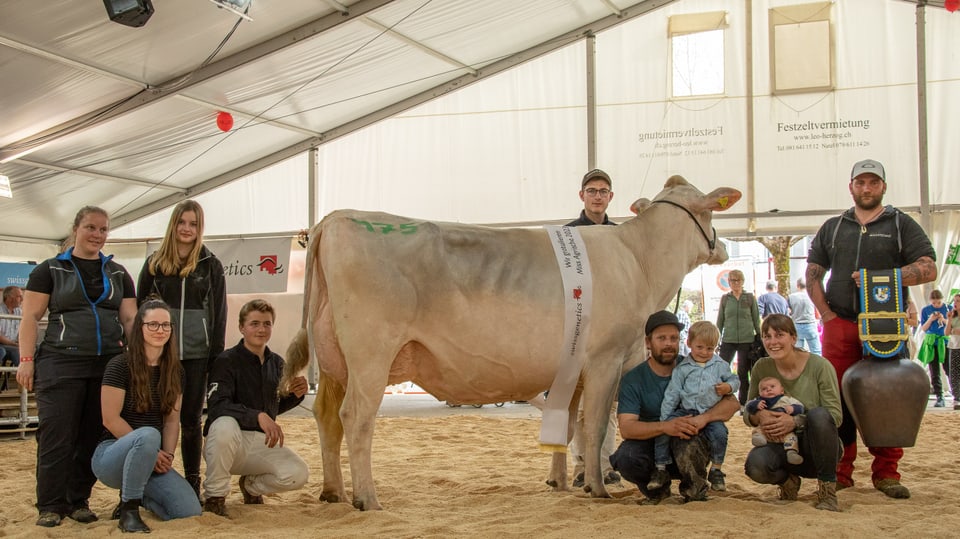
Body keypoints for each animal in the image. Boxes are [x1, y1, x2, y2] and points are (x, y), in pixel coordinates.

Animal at [282, 176, 740, 510]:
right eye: (709, 211)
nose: (722, 245)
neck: (638, 260)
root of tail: (335, 218)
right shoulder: (606, 358)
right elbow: (594, 427)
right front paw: (596, 487)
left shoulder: (572, 368)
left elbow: (568, 424)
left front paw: (560, 482)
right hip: (371, 353)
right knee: (356, 417)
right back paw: (367, 498)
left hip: (335, 358)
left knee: (327, 417)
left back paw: (333, 492)